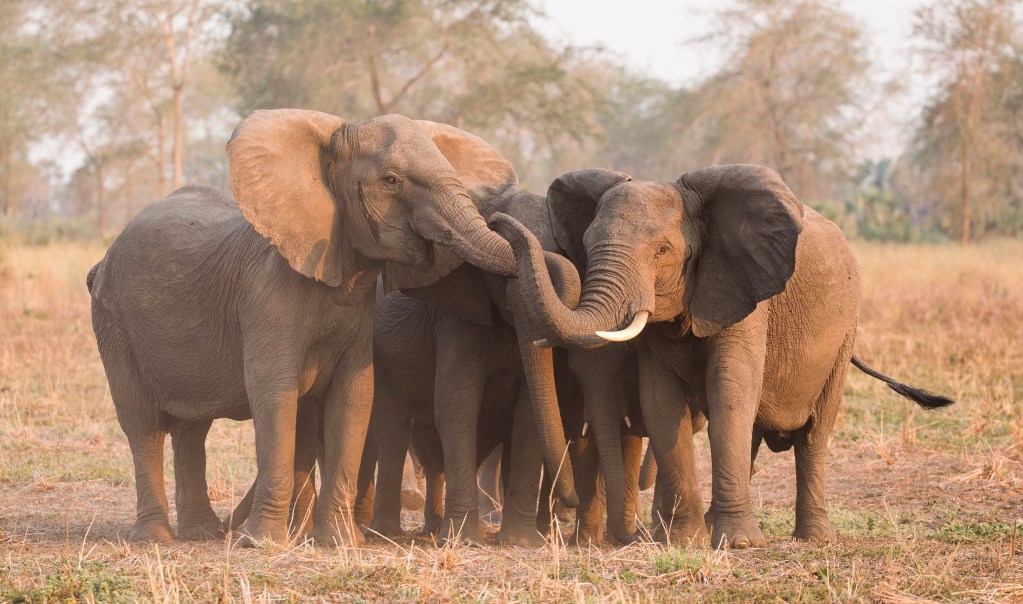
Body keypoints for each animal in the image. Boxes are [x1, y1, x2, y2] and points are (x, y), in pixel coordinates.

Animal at [87, 109, 535, 546]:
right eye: (390, 180)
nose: (503, 217)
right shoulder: (266, 298)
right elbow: (275, 395)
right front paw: (264, 545)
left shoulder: (360, 312)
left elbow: (354, 397)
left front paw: (340, 542)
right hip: (112, 322)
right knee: (142, 424)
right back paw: (156, 538)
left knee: (191, 429)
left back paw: (202, 533)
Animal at [491, 165, 954, 548]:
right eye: (586, 246)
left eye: (662, 251)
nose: (497, 220)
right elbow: (661, 405)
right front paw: (683, 541)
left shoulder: (745, 296)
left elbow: (730, 393)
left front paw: (738, 545)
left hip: (844, 334)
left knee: (813, 434)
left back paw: (813, 539)